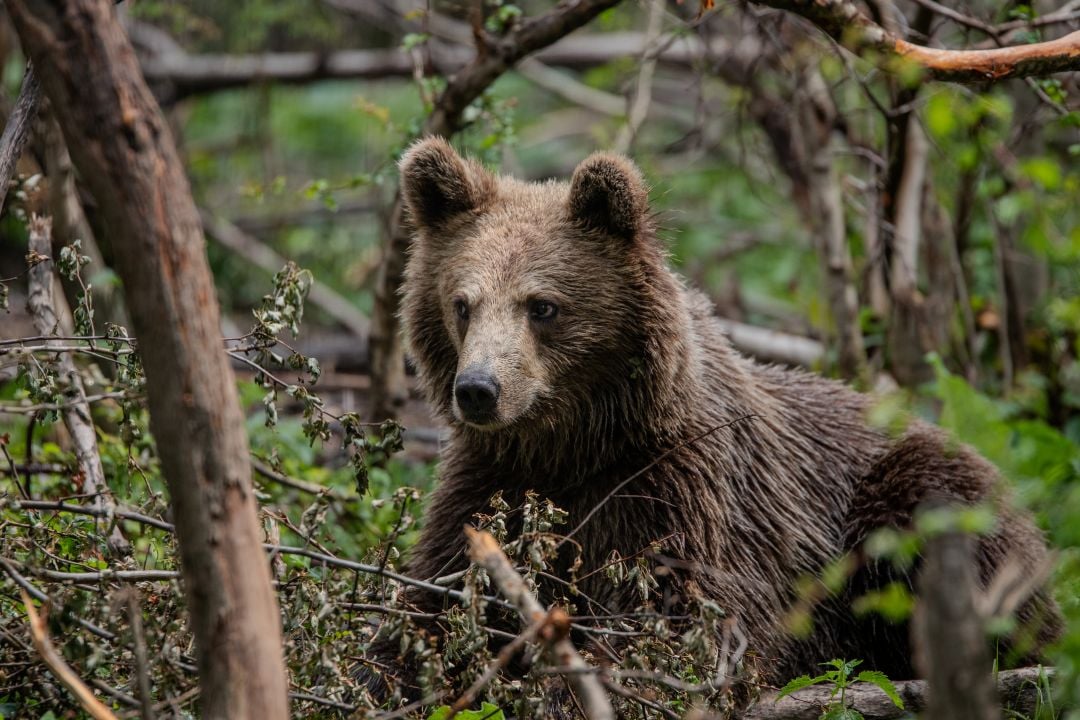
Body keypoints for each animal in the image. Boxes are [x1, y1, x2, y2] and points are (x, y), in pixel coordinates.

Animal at [379, 137, 1061, 702]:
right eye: (462, 304)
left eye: (542, 305)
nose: (478, 390)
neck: (576, 443)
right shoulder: (492, 484)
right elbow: (422, 611)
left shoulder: (682, 494)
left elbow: (690, 627)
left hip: (910, 502)